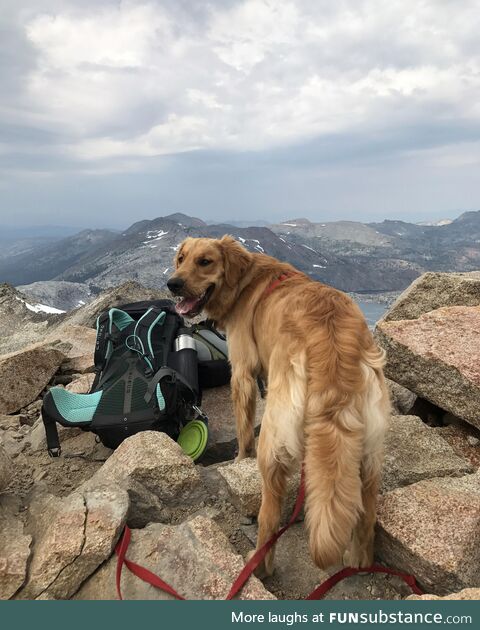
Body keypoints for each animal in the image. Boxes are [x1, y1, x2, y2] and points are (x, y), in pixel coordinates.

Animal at [169, 236, 390, 576]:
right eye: (181, 258)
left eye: (205, 262)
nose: (173, 284)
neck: (245, 281)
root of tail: (332, 345)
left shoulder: (242, 373)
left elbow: (244, 432)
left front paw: (239, 460)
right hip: (369, 450)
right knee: (365, 513)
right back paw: (358, 560)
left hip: (273, 438)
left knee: (270, 515)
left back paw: (260, 565)